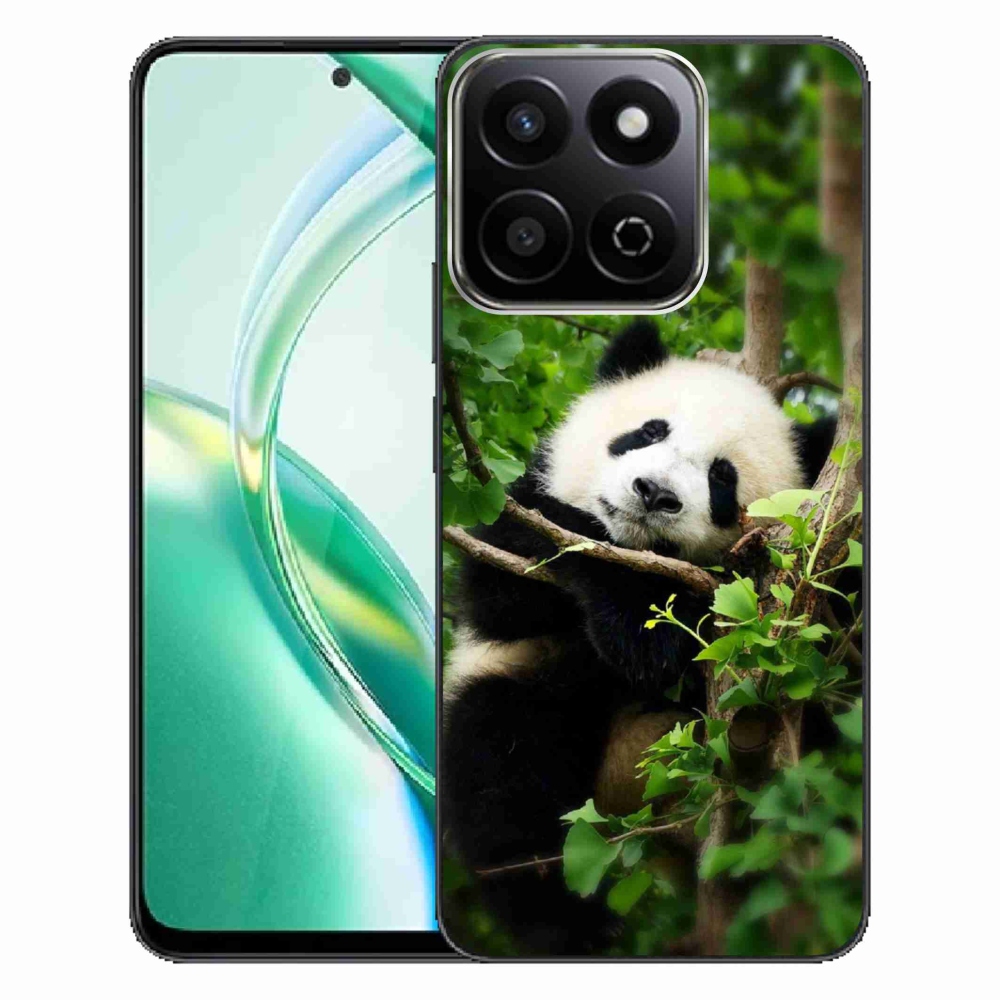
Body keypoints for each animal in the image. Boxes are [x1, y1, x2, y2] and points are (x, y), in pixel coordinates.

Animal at [441, 320, 836, 956]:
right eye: (649, 431)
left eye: (721, 478)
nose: (653, 493)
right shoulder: (509, 516)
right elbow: (501, 592)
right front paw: (570, 532)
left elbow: (682, 641)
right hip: (528, 698)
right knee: (502, 769)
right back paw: (567, 919)